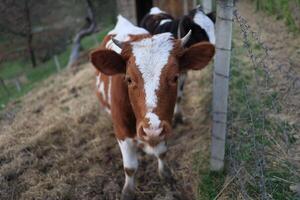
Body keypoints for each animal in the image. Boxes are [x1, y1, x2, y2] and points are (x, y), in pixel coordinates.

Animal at [90, 15, 214, 200]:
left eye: (175, 77)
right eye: (129, 79)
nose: (151, 129)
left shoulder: (164, 125)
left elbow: (162, 153)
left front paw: (166, 176)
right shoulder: (121, 132)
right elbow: (130, 168)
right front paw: (128, 192)